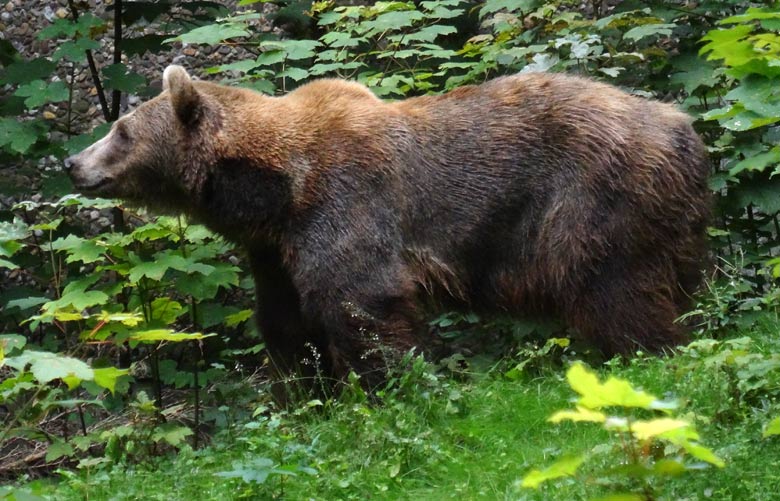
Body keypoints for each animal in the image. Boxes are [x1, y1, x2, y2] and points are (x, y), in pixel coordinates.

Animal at [65, 64, 712, 390]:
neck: (276, 189)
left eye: (121, 130)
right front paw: (307, 391)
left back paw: (646, 356)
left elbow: (360, 301)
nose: (73, 162)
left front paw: (385, 388)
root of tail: (683, 127)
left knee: (614, 286)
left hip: (596, 197)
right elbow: (286, 322)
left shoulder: (346, 200)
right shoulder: (275, 251)